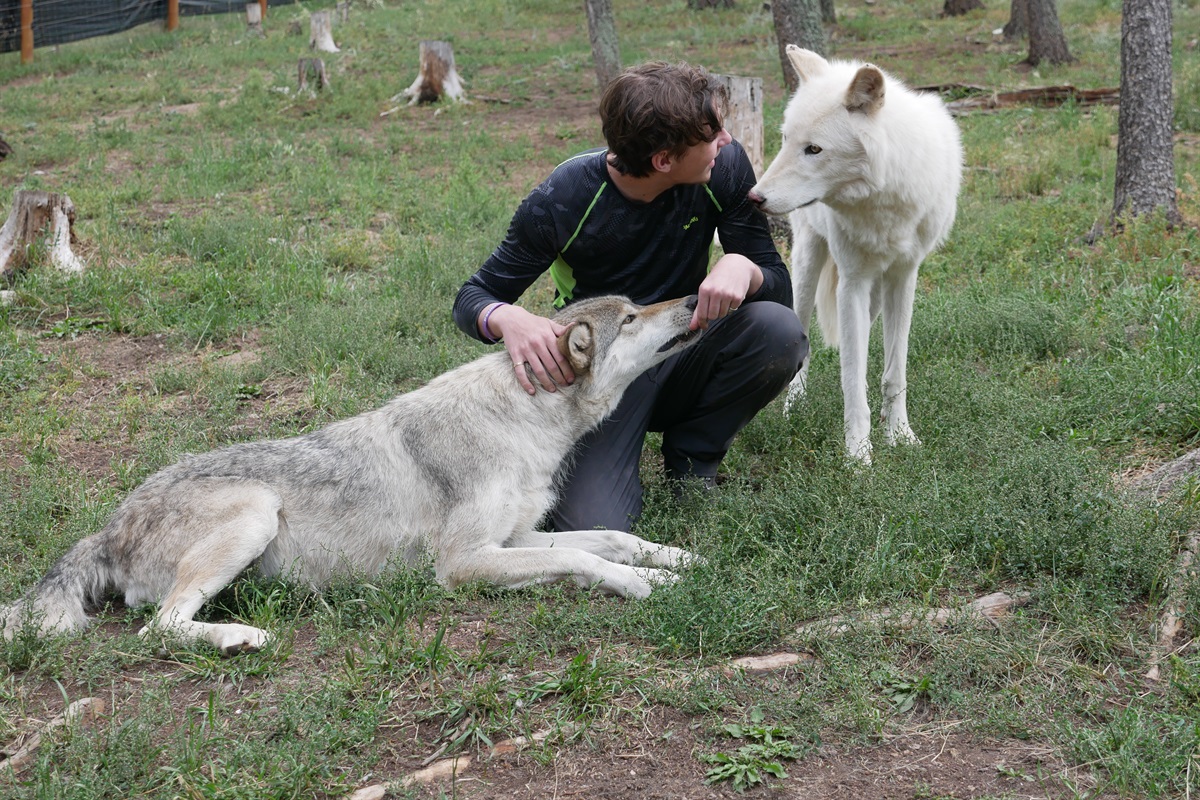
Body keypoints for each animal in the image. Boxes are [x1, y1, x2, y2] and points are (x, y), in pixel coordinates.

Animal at [2, 295, 704, 655]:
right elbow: (587, 559)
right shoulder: (464, 564)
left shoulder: (515, 539)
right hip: (256, 512)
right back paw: (241, 636)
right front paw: (646, 584)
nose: (696, 295)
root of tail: (108, 525)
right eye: (633, 317)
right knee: (161, 628)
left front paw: (678, 559)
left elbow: (608, 539)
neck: (522, 421)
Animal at [749, 45, 963, 463]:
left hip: (875, 295)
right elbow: (851, 377)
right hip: (807, 266)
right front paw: (859, 455)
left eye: (814, 149)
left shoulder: (903, 278)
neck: (883, 200)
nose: (754, 197)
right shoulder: (851, 283)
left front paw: (900, 435)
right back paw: (794, 407)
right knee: (806, 339)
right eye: (785, 139)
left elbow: (894, 372)